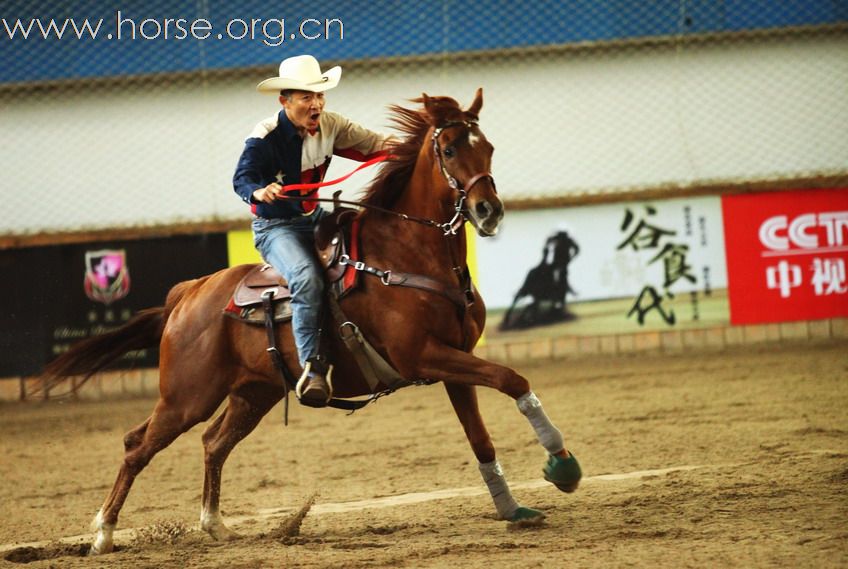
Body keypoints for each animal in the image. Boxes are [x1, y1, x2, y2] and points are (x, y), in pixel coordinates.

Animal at [44, 89, 584, 556]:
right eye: (449, 149)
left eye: (488, 147)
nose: (487, 210)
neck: (407, 254)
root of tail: (188, 293)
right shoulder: (425, 356)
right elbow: (513, 379)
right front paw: (562, 465)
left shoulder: (456, 361)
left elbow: (481, 435)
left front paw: (513, 509)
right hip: (186, 396)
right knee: (138, 445)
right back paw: (103, 534)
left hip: (253, 392)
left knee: (214, 443)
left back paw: (215, 525)